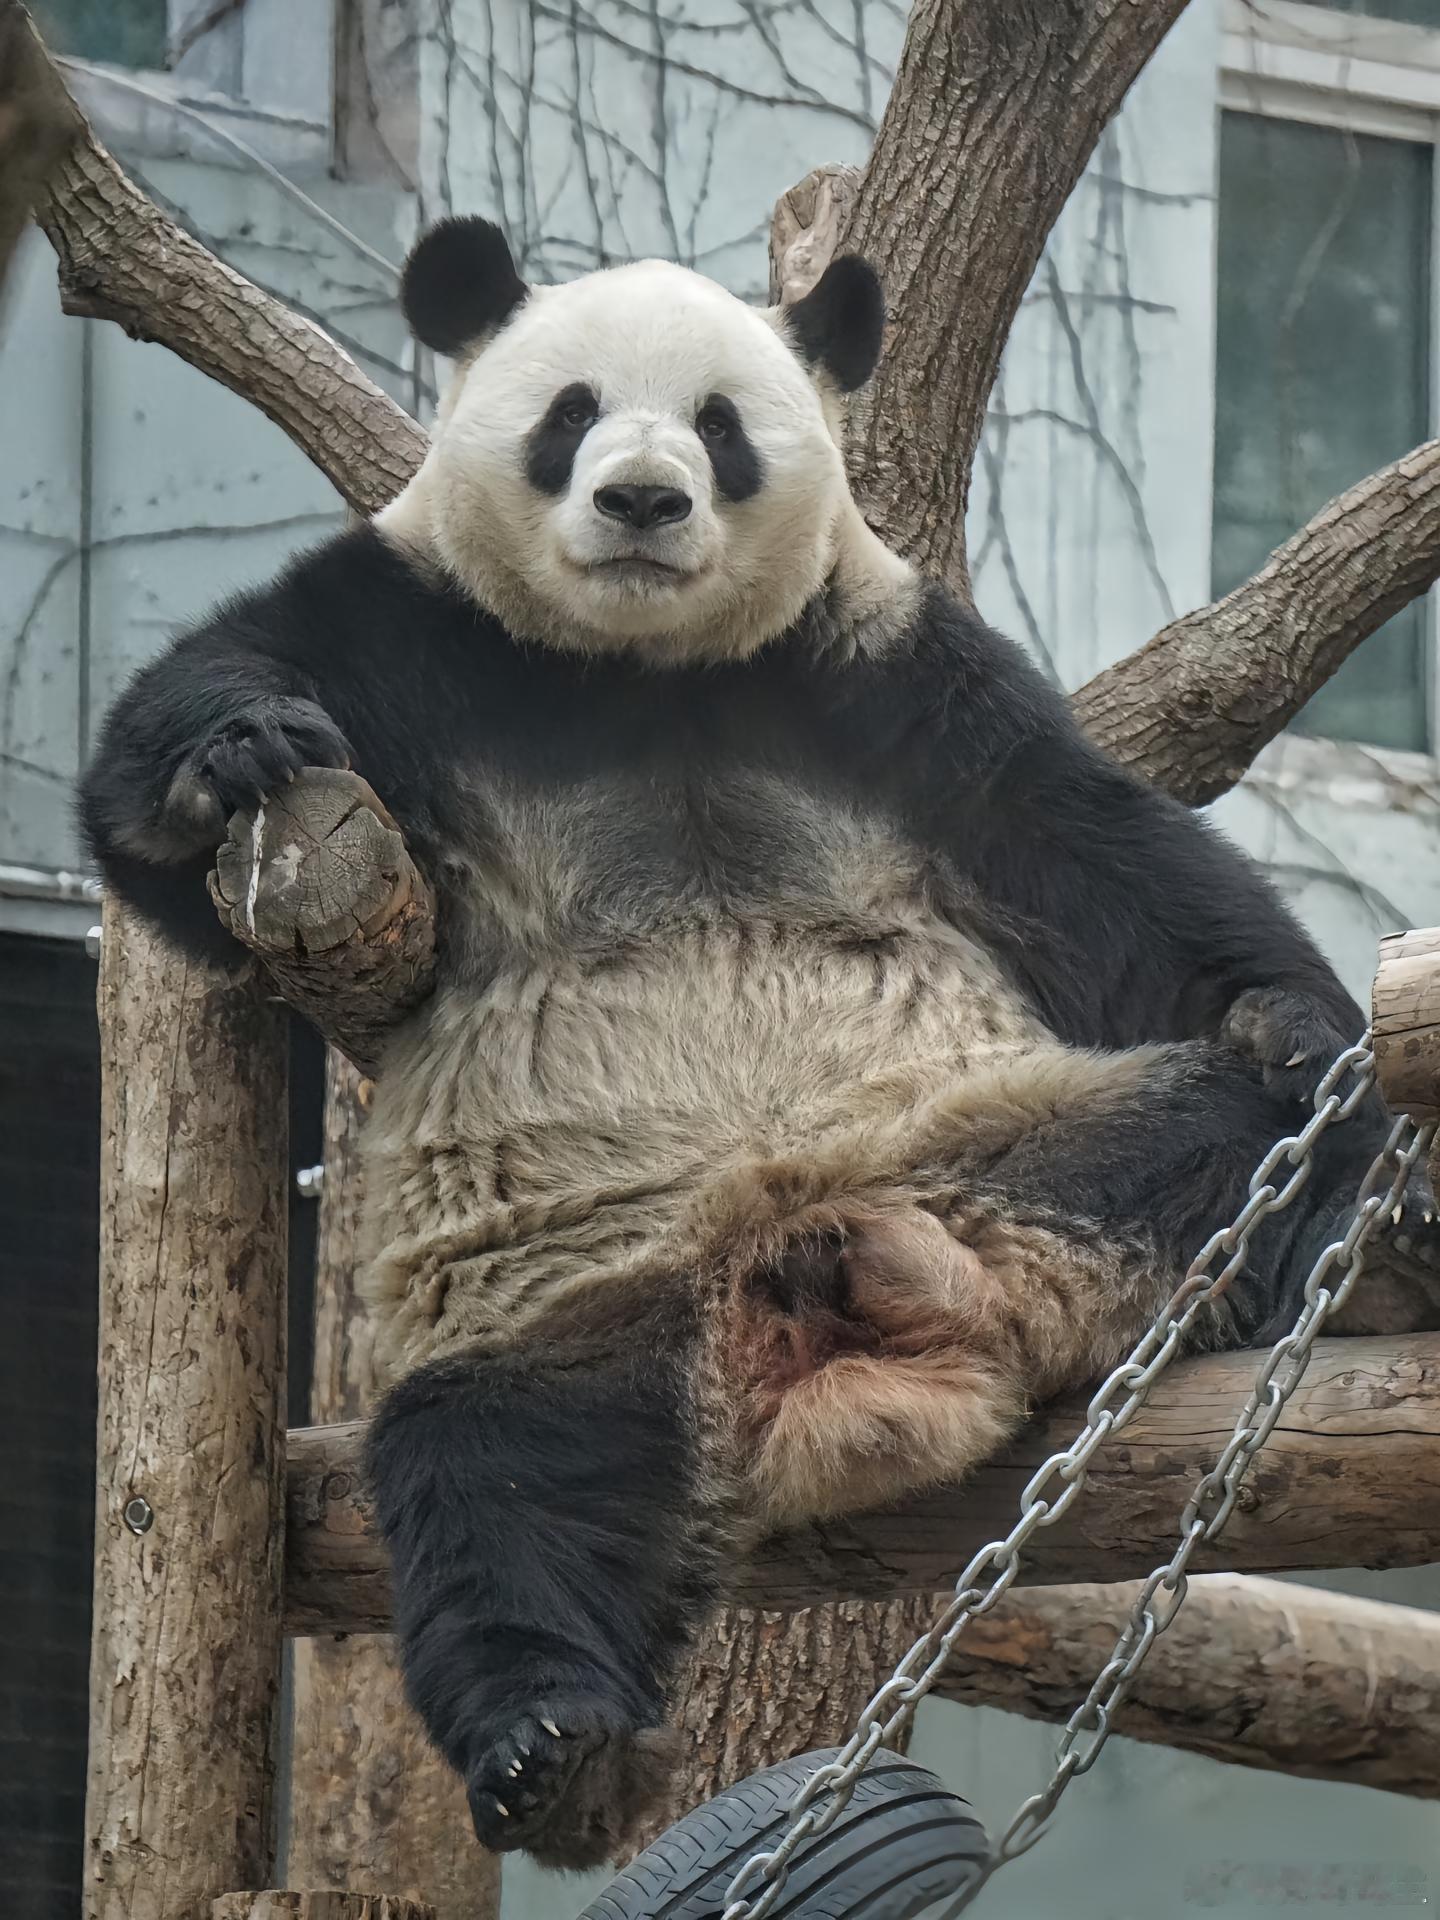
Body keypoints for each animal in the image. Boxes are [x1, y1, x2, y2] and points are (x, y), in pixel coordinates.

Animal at [81, 217, 1397, 1866]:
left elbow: (1099, 851)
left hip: (989, 1136)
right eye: (572, 412)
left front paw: (1300, 1019)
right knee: (497, 1481)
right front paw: (236, 744)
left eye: (719, 427)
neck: (643, 668)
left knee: (1207, 1137)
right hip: (576, 1297)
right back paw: (551, 1751)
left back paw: (1322, 1225)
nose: (644, 499)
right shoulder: (411, 633)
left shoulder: (886, 675)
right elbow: (172, 764)